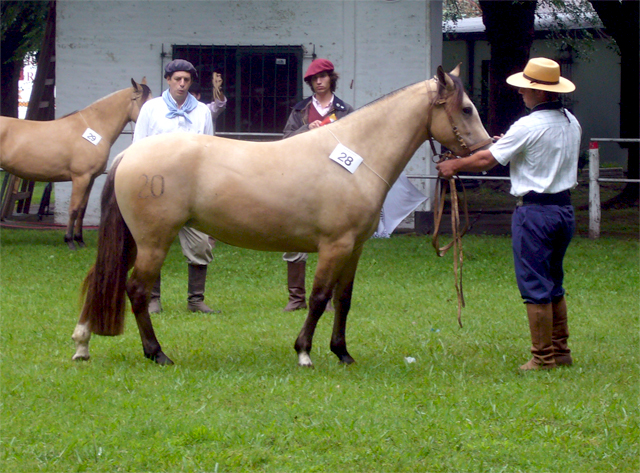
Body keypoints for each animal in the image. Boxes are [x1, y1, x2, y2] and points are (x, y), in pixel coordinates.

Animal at [0, 79, 151, 249]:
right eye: (145, 102)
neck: (95, 126)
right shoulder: (80, 178)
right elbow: (73, 209)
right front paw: (69, 240)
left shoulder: (90, 179)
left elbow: (82, 210)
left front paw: (80, 239)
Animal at [70, 66, 490, 366]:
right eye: (466, 108)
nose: (486, 153)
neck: (356, 153)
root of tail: (130, 155)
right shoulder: (334, 246)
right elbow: (319, 297)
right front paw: (304, 352)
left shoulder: (354, 249)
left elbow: (343, 299)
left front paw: (342, 352)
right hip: (153, 242)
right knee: (136, 290)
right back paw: (157, 353)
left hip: (133, 240)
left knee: (102, 278)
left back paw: (83, 343)